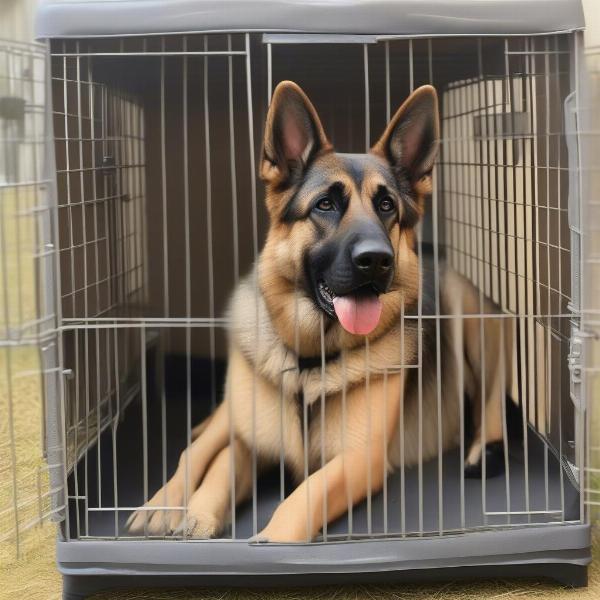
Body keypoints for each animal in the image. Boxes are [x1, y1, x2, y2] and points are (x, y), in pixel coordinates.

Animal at [127, 81, 510, 544]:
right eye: (325, 205)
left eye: (387, 207)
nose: (377, 260)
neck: (310, 363)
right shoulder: (252, 441)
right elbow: (221, 464)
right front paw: (196, 513)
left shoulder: (359, 460)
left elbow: (303, 495)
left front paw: (272, 539)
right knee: (199, 445)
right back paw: (162, 502)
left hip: (469, 314)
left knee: (492, 398)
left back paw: (484, 450)